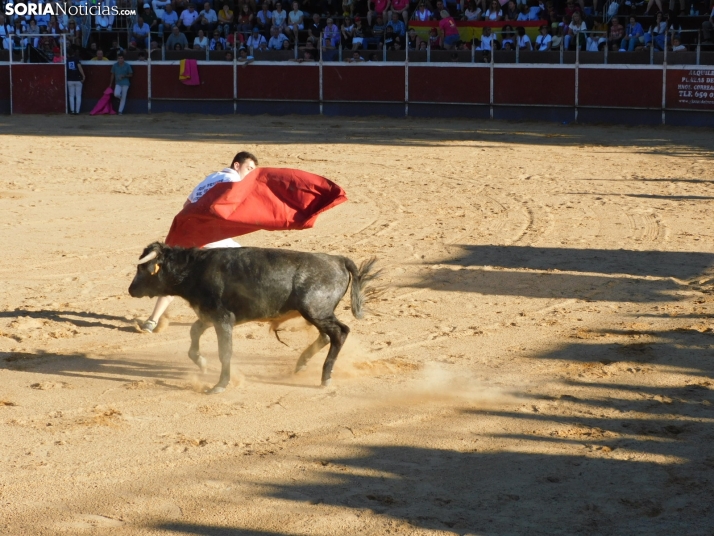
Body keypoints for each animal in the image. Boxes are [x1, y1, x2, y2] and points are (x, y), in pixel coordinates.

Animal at [127, 243, 378, 394]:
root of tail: (338, 259)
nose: (131, 290)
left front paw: (219, 385)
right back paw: (302, 364)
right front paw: (203, 364)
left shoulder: (222, 319)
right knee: (327, 336)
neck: (193, 269)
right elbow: (193, 335)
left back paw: (325, 378)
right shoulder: (208, 317)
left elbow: (225, 352)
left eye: (142, 269)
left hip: (316, 311)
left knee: (339, 333)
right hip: (317, 314)